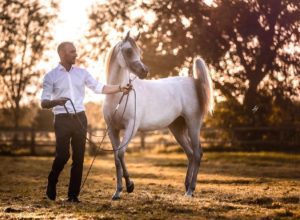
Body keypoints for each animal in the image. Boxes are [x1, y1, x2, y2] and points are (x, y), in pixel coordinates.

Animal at [102, 32, 213, 199]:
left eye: (139, 51)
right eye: (129, 51)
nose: (144, 71)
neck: (119, 95)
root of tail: (195, 81)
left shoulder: (131, 127)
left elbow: (121, 153)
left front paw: (130, 185)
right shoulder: (112, 130)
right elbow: (116, 158)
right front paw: (118, 192)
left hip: (193, 124)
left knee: (197, 153)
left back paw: (190, 190)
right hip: (177, 128)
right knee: (190, 154)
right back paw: (186, 186)